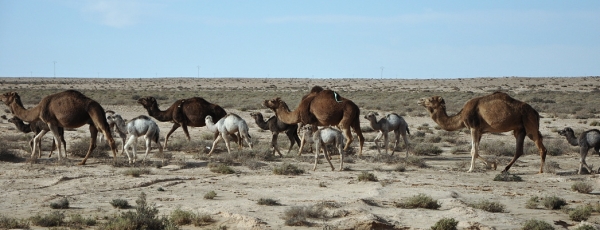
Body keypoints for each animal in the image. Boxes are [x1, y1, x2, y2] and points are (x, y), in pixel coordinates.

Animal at [418, 91, 548, 172]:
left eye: (430, 99)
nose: (420, 100)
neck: (461, 116)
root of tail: (535, 112)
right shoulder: (480, 131)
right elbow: (476, 151)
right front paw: (493, 164)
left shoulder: (473, 127)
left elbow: (473, 151)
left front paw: (470, 169)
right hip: (519, 129)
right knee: (519, 150)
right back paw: (504, 169)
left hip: (529, 123)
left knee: (541, 147)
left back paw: (540, 171)